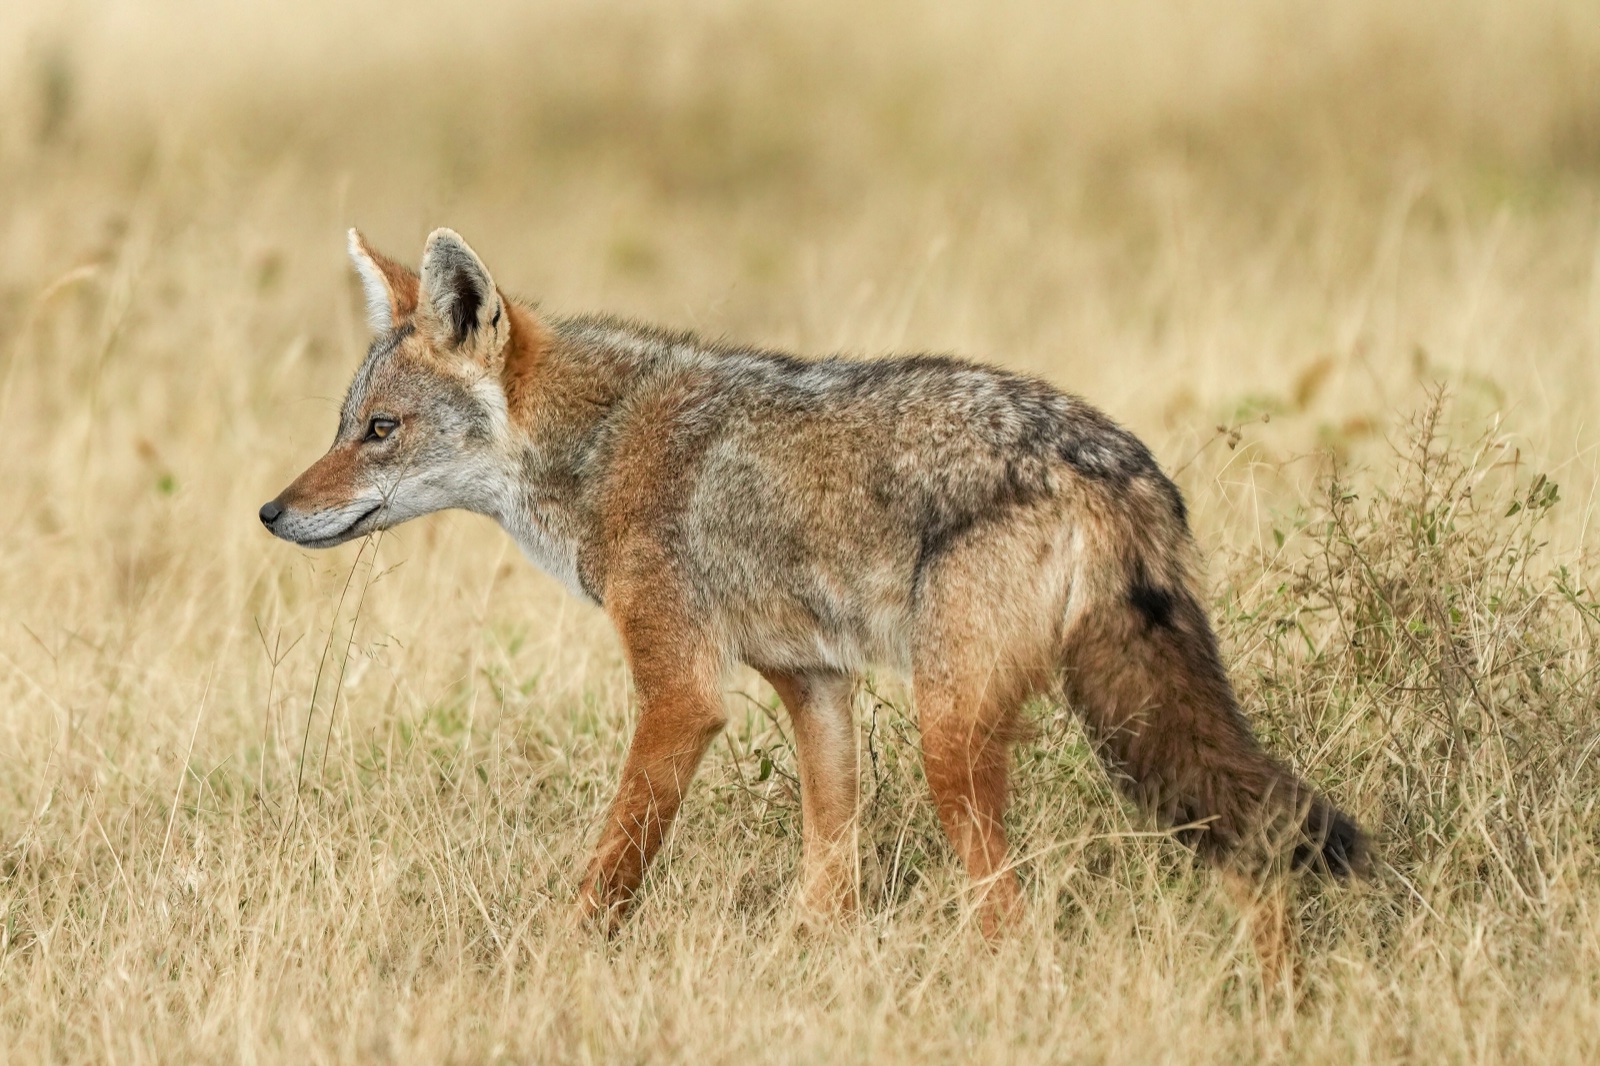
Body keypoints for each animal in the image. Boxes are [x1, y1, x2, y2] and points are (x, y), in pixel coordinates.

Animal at [261, 227, 1366, 954]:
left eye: (381, 432)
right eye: (344, 425)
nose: (271, 512)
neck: (600, 448)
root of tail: (1110, 458)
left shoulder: (682, 696)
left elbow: (611, 866)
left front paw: (550, 961)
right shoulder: (815, 683)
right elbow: (827, 868)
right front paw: (811, 956)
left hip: (954, 736)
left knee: (1007, 914)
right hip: (1126, 726)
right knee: (1254, 857)